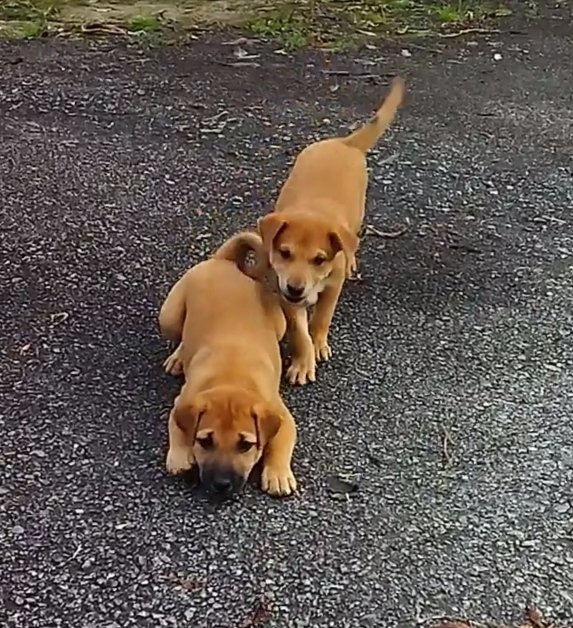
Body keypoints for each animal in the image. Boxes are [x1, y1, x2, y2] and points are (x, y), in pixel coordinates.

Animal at [159, 233, 298, 498]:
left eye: (245, 445)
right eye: (205, 442)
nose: (221, 485)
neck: (231, 377)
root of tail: (222, 261)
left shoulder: (282, 414)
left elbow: (282, 442)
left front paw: (278, 474)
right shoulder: (183, 400)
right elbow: (176, 425)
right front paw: (179, 456)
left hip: (281, 323)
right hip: (168, 316)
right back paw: (178, 357)